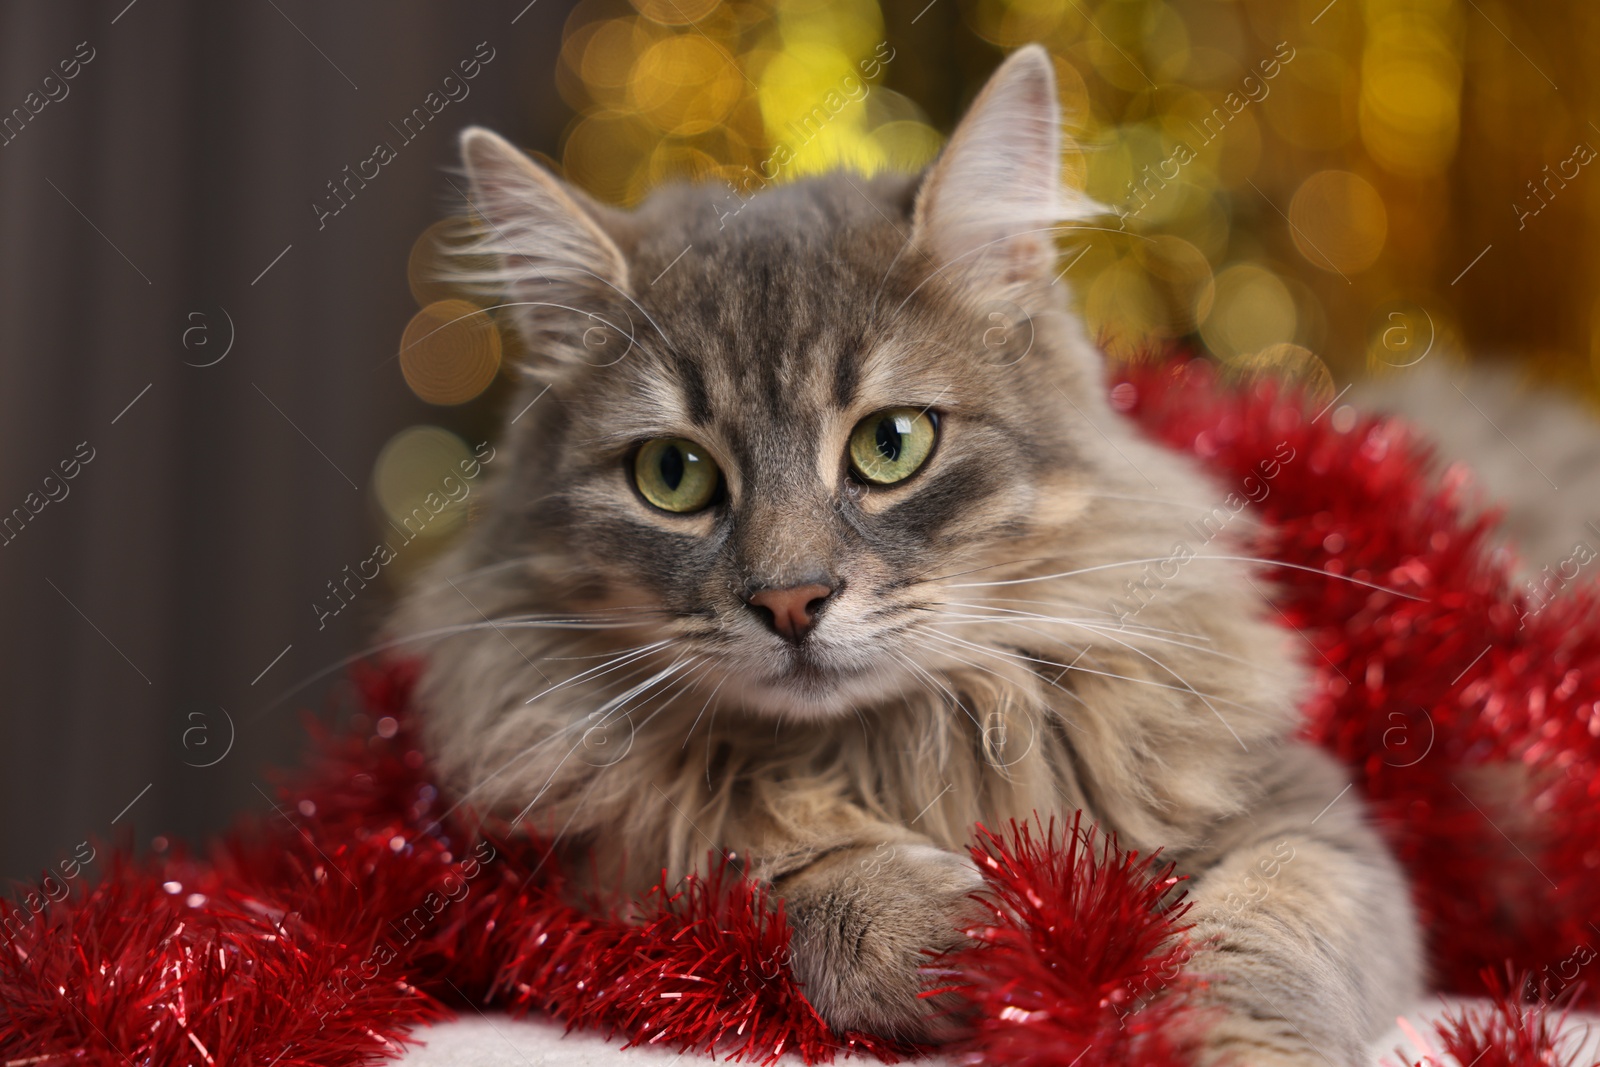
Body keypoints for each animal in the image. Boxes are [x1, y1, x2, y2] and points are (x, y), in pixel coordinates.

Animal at [390, 43, 1427, 1067]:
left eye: (890, 445)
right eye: (673, 473)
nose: (791, 601)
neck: (896, 740)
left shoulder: (1304, 818)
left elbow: (1259, 933)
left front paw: (1213, 1034)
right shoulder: (585, 869)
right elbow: (776, 871)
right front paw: (995, 930)